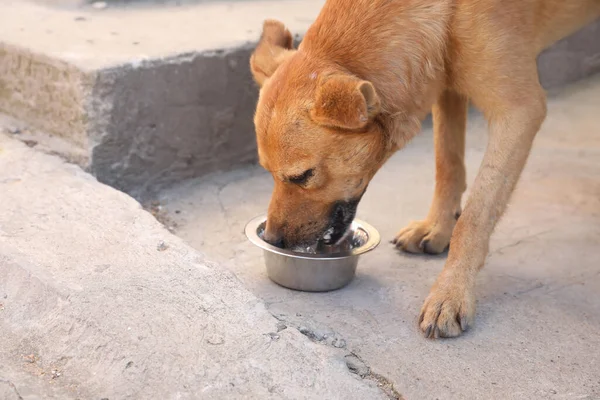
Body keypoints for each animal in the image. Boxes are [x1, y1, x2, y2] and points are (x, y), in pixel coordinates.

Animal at [247, 0, 600, 340]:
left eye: (302, 176)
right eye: (267, 171)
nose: (273, 239)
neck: (448, 9)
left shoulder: (519, 111)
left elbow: (474, 217)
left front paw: (452, 293)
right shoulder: (446, 86)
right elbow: (447, 164)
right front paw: (438, 227)